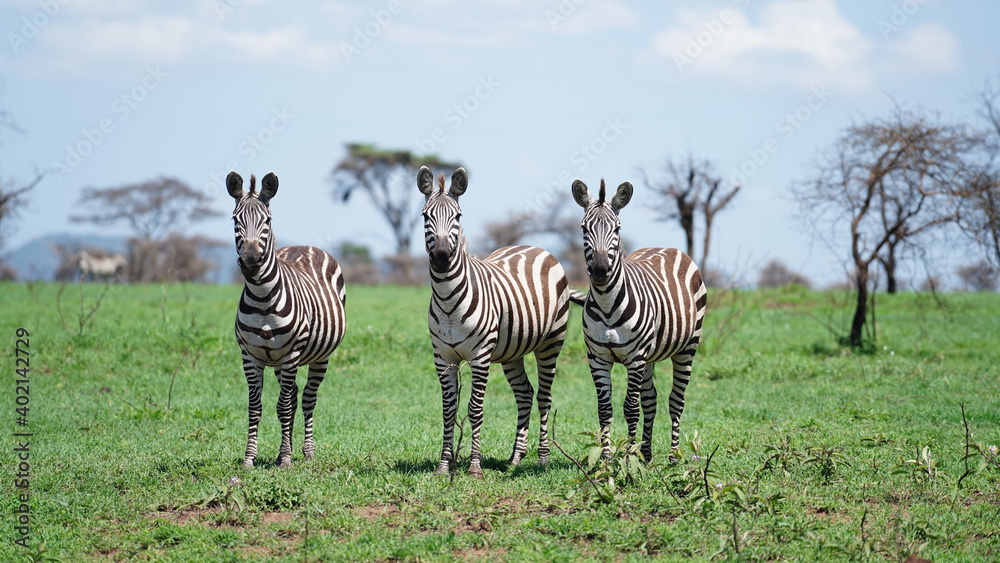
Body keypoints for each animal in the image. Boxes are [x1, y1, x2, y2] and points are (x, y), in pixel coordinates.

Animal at [227, 171, 347, 469]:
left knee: (307, 399)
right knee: (292, 397)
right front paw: (250, 458)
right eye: (235, 219)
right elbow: (255, 407)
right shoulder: (250, 356)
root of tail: (305, 246)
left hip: (318, 356)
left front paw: (285, 460)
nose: (250, 261)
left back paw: (306, 451)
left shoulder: (291, 354)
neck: (262, 298)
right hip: (279, 362)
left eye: (267, 221)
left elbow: (283, 407)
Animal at [418, 165, 577, 476]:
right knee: (525, 394)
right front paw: (444, 466)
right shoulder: (443, 357)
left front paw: (474, 467)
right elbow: (448, 410)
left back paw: (543, 457)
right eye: (425, 216)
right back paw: (515, 457)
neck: (448, 300)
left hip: (552, 342)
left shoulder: (480, 357)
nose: (441, 257)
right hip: (511, 351)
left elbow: (475, 409)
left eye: (458, 216)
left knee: (544, 396)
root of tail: (536, 248)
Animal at [571, 178, 707, 462]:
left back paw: (673, 456)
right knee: (651, 399)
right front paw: (606, 459)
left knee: (676, 400)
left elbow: (630, 408)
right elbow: (605, 408)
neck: (607, 304)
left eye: (617, 229)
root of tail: (664, 246)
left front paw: (627, 458)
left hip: (687, 348)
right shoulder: (597, 358)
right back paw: (646, 452)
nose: (600, 270)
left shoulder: (635, 358)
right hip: (650, 356)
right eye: (584, 228)